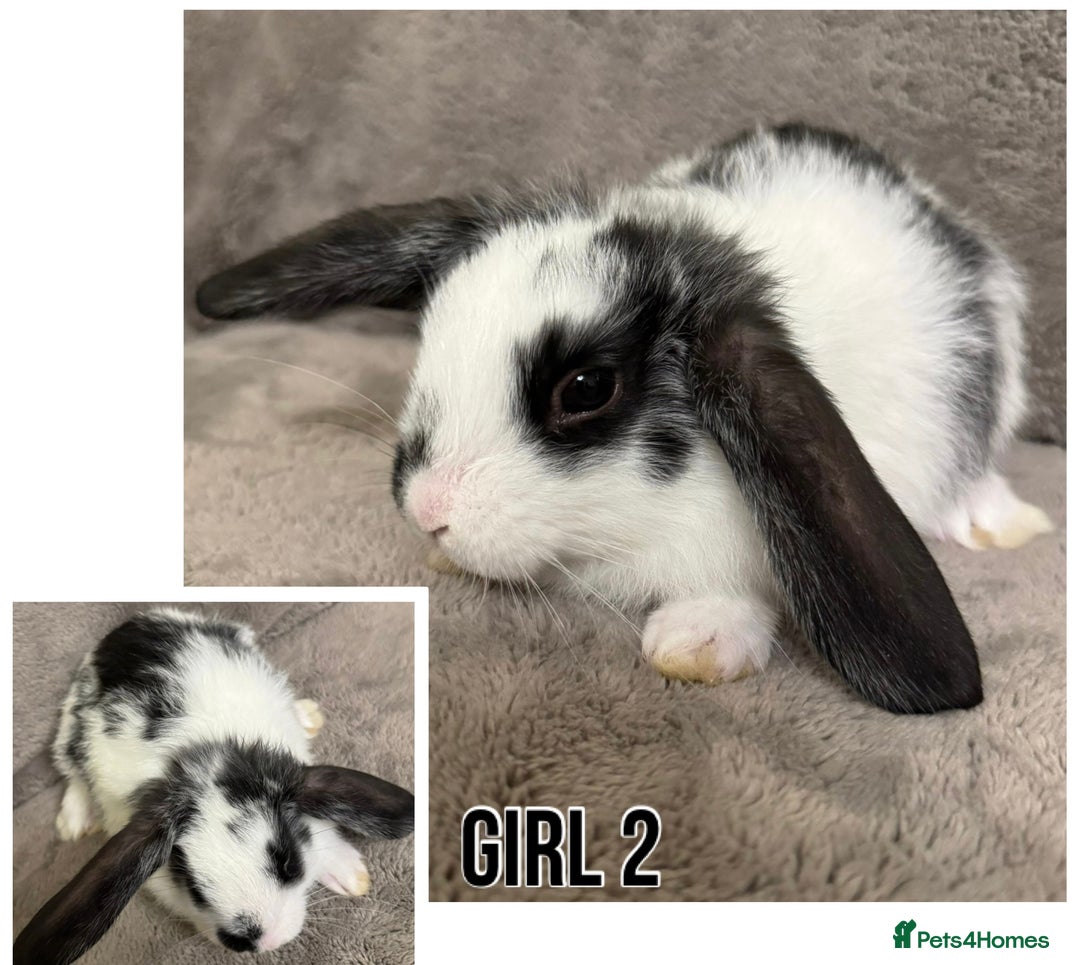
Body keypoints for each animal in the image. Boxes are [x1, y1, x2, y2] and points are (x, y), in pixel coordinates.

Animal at [15, 608, 414, 965]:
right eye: (193, 886)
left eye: (287, 861)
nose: (268, 941)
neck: (203, 756)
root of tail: (128, 627)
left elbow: (321, 828)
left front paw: (351, 875)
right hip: (70, 728)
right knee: (73, 774)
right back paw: (73, 823)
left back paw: (307, 713)